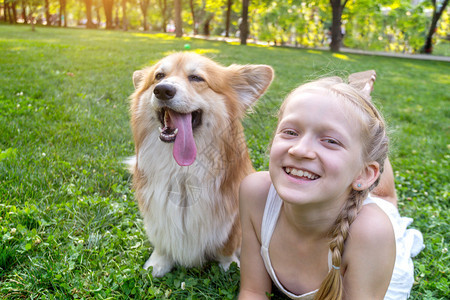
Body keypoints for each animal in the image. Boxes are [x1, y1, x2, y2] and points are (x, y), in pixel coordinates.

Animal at [128, 51, 272, 276]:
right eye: (159, 76)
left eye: (196, 78)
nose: (162, 90)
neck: (182, 170)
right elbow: (162, 240)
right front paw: (157, 263)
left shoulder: (233, 219)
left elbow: (227, 246)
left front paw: (229, 267)